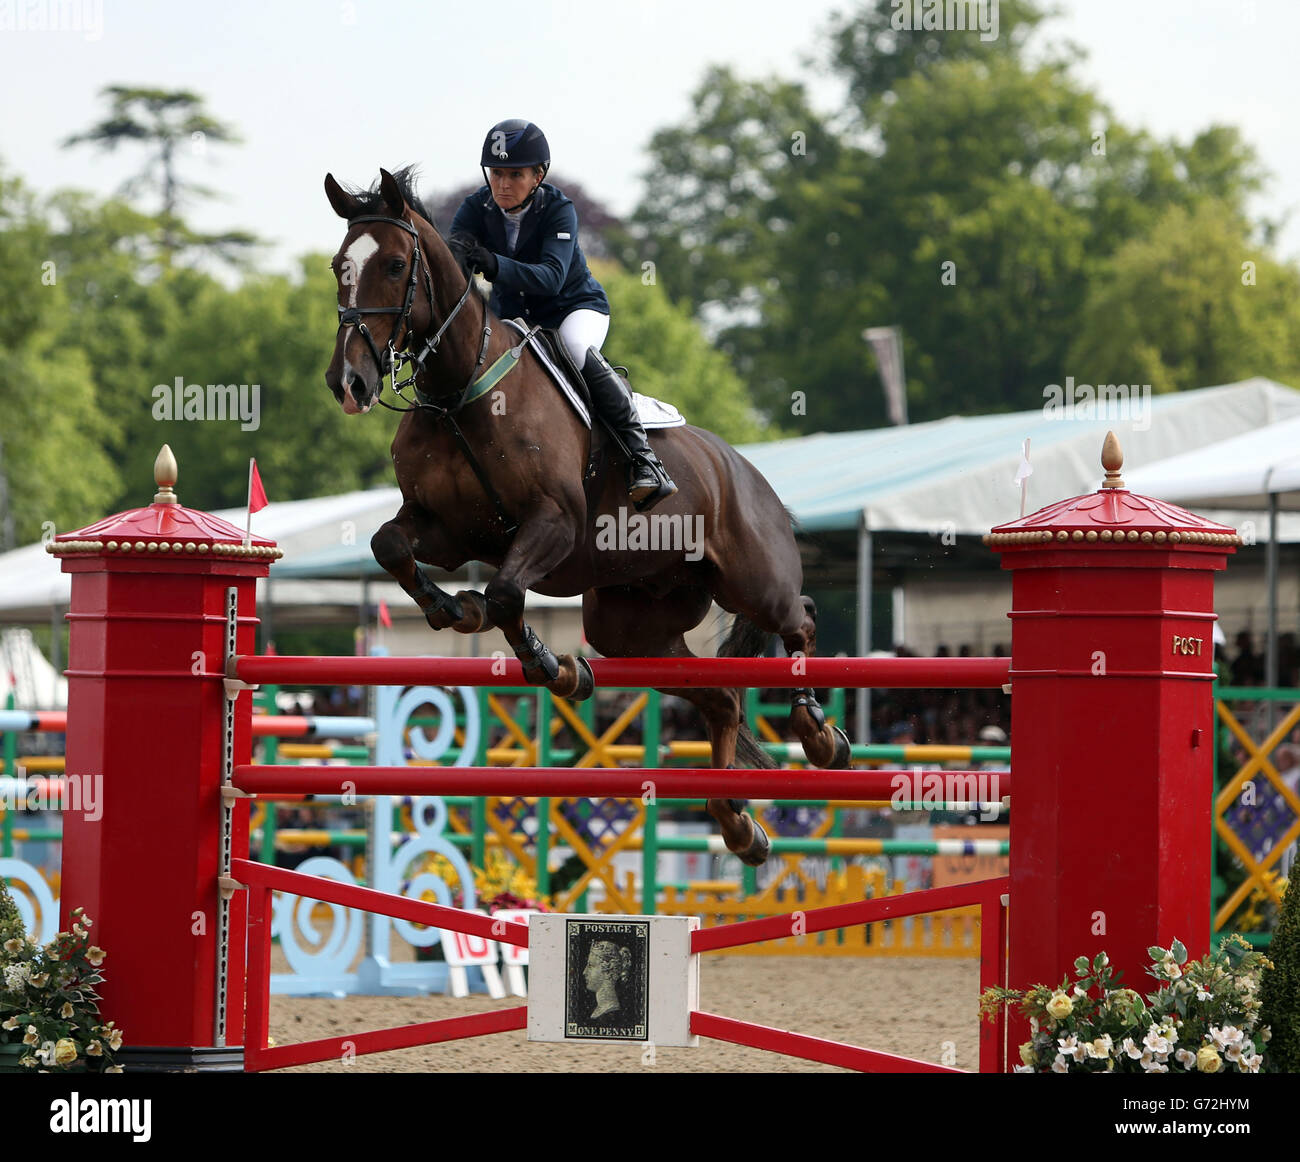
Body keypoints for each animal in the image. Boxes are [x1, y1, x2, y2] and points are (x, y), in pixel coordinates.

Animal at [325, 168, 852, 868]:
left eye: (393, 264)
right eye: (339, 267)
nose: (348, 382)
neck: (460, 390)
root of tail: (746, 470)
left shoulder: (554, 524)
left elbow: (504, 592)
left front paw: (546, 662)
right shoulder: (446, 529)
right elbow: (393, 547)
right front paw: (455, 610)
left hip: (751, 580)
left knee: (802, 617)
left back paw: (818, 732)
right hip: (630, 624)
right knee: (718, 696)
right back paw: (738, 824)